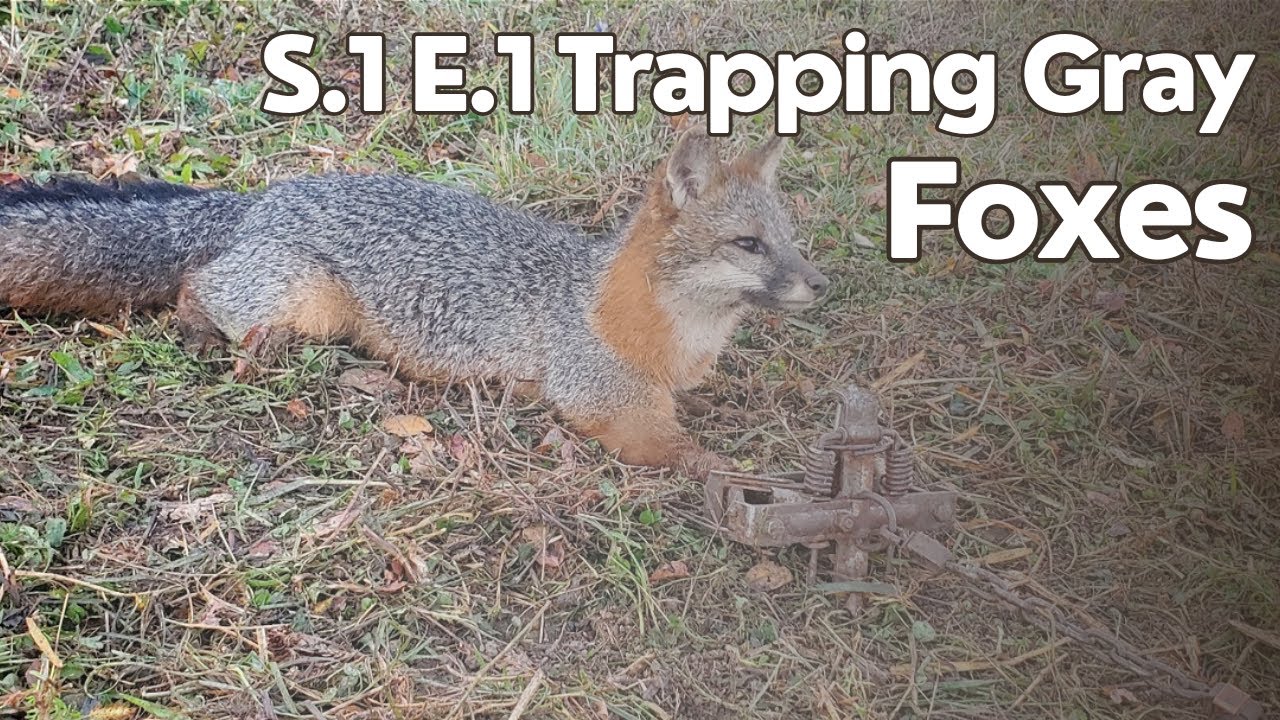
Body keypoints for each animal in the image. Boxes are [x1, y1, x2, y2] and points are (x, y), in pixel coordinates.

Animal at [0, 125, 829, 478]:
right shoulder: (604, 398)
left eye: (791, 241)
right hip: (310, 300)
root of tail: (266, 194)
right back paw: (210, 335)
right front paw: (734, 475)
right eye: (749, 245)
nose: (821, 284)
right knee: (197, 285)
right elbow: (679, 448)